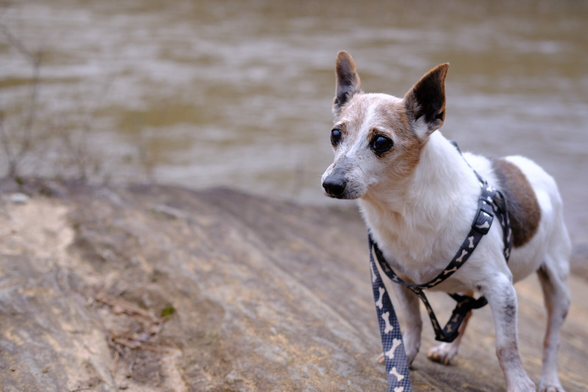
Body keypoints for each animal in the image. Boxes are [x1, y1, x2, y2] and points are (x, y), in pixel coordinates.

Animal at [322, 52, 568, 392]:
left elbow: (506, 346)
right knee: (465, 312)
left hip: (557, 284)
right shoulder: (402, 281)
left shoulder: (501, 287)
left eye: (381, 142)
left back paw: (549, 379)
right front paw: (404, 359)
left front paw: (519, 384)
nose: (330, 184)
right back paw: (449, 349)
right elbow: (411, 323)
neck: (404, 212)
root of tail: (528, 165)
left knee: (552, 337)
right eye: (336, 135)